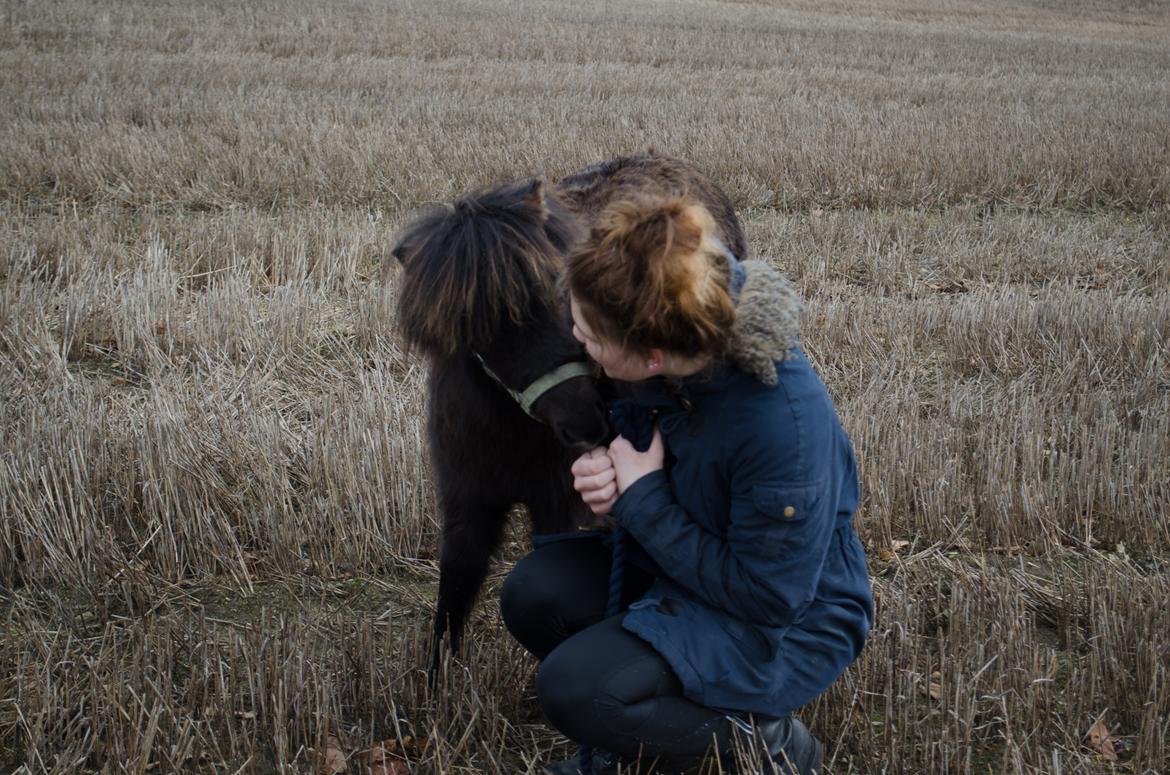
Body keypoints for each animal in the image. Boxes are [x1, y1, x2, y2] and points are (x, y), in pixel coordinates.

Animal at [388, 153, 744, 674]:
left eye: (559, 293)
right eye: (478, 334)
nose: (587, 425)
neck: (512, 430)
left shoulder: (555, 506)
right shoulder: (467, 504)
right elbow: (454, 588)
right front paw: (436, 685)